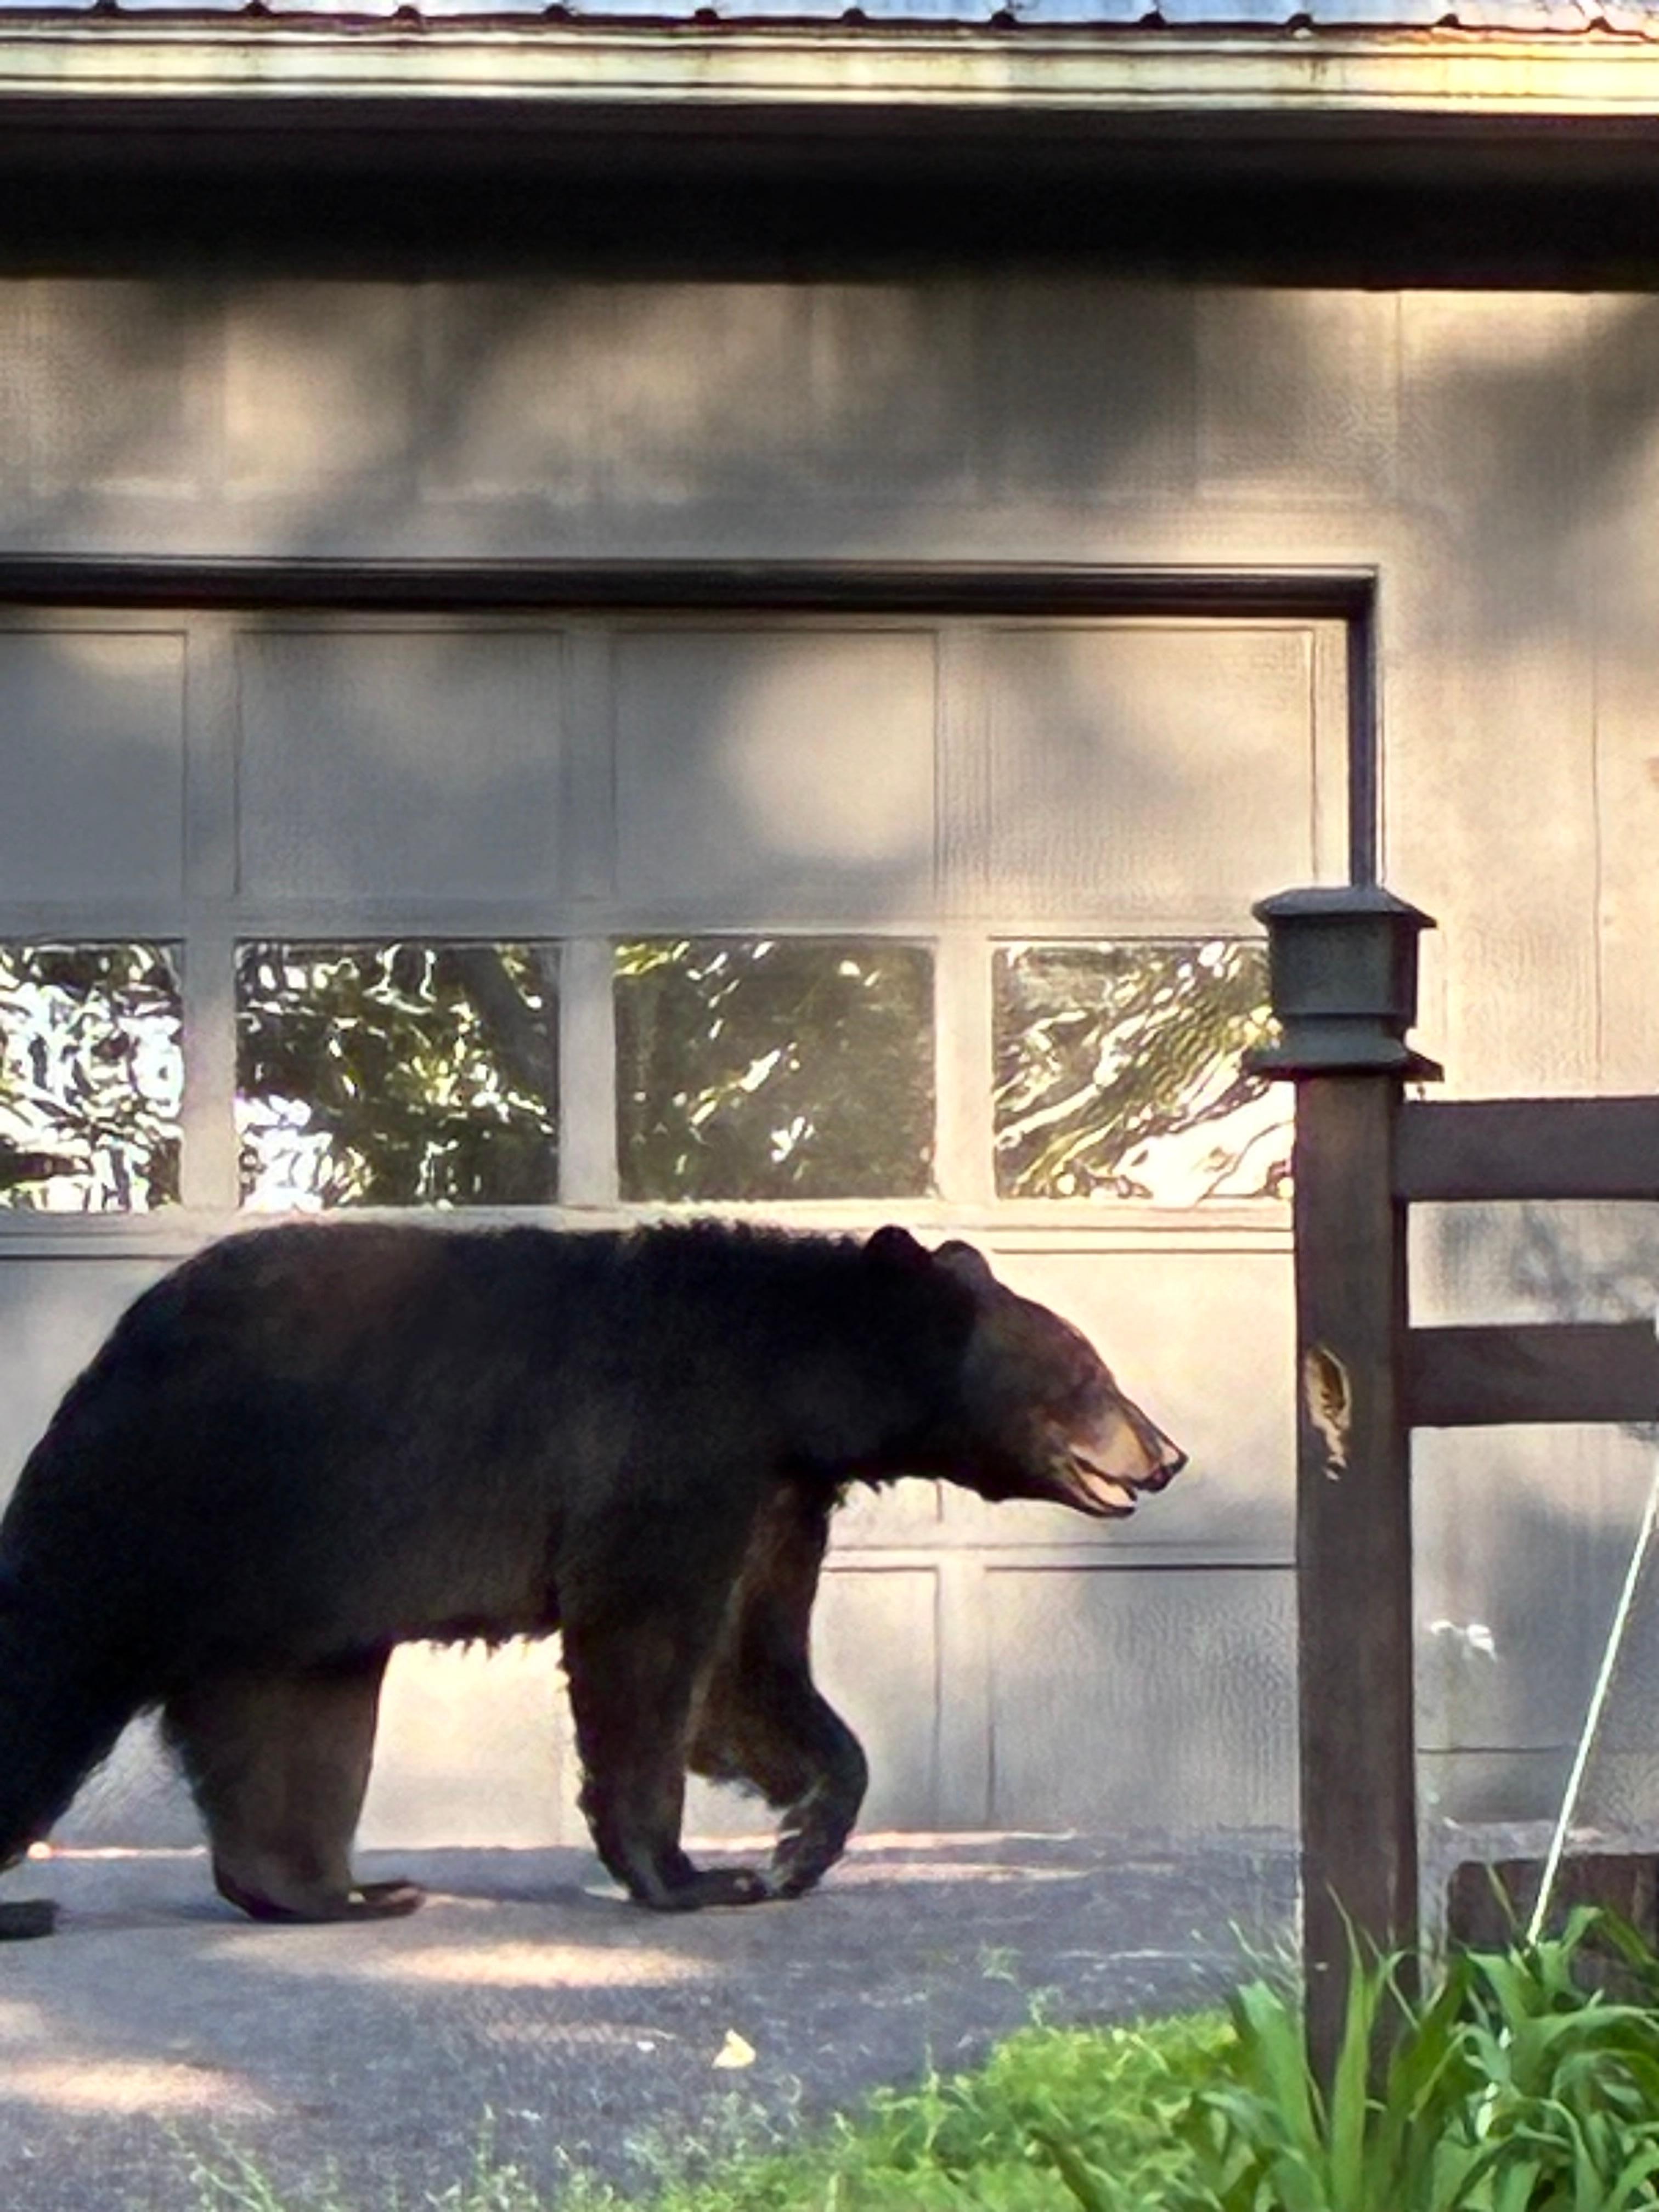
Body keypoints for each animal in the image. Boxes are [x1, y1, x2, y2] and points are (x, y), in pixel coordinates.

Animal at [0, 1221, 1183, 1929]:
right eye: (1089, 1372)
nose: (1165, 1454)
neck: (788, 1375)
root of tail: (116, 1346)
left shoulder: (772, 1491)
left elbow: (746, 1671)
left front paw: (796, 1841)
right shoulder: (670, 1446)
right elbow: (648, 1651)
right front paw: (690, 1875)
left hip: (294, 1593)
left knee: (293, 1729)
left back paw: (346, 1891)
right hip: (157, 1510)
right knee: (48, 1662)